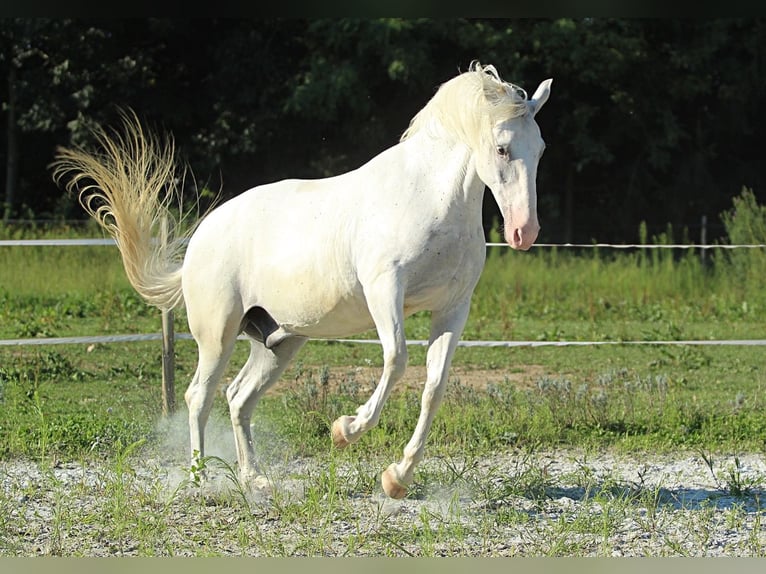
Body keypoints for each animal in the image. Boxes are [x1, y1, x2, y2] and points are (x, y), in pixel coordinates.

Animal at [52, 63, 552, 502]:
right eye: (502, 148)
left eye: (541, 148)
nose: (524, 233)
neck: (427, 197)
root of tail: (201, 237)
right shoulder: (384, 290)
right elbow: (395, 361)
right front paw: (345, 430)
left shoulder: (453, 307)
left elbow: (434, 386)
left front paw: (396, 478)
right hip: (217, 335)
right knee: (199, 396)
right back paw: (200, 481)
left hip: (278, 341)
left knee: (238, 399)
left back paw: (255, 481)